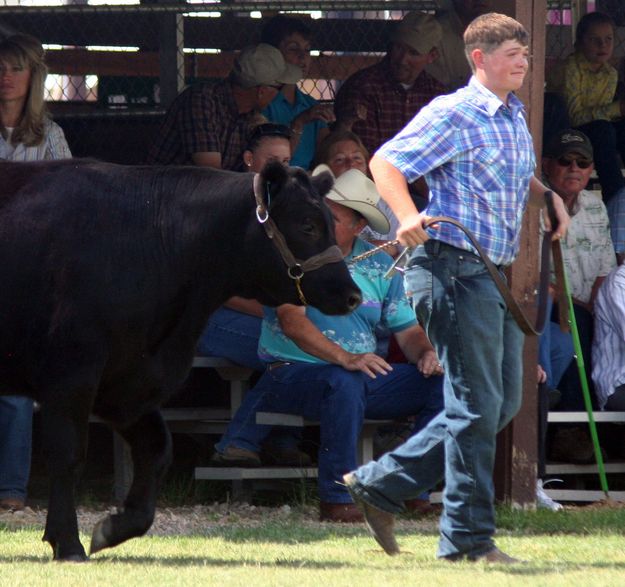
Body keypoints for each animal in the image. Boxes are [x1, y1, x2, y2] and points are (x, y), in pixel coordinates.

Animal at [0, 160, 360, 560]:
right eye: (308, 225)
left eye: (332, 222)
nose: (353, 295)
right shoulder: (71, 375)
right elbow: (68, 455)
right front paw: (67, 543)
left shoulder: (128, 383)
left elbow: (158, 450)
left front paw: (114, 528)